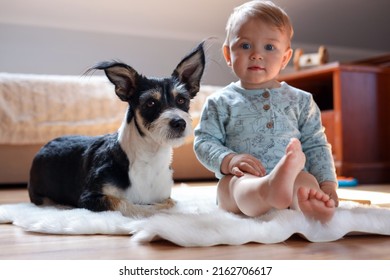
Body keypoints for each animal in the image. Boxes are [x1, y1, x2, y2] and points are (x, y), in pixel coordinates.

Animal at [28, 41, 206, 218]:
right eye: (150, 103)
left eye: (182, 100)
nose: (179, 123)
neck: (150, 158)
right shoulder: (88, 198)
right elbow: (132, 205)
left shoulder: (164, 195)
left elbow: (169, 202)